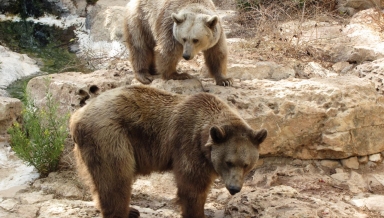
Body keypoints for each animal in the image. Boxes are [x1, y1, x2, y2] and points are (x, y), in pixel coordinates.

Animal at [69, 85, 268, 218]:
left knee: (97, 180)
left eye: (246, 164)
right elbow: (192, 187)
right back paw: (125, 211)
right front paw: (197, 212)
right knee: (116, 179)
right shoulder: (188, 145)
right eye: (228, 162)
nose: (234, 188)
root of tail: (76, 117)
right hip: (110, 136)